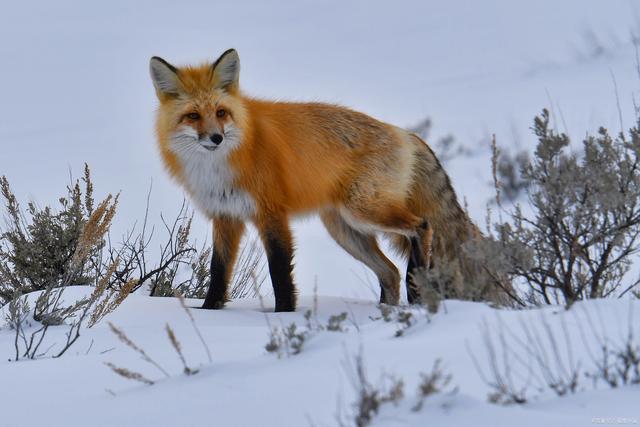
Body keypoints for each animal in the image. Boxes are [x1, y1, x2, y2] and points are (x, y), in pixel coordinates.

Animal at [150, 50, 490, 312]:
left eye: (221, 113)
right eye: (193, 116)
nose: (216, 138)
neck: (221, 164)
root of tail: (405, 132)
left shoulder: (271, 213)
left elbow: (279, 271)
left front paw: (283, 315)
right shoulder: (225, 216)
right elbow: (218, 272)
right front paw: (209, 312)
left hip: (364, 211)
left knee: (421, 227)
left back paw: (416, 289)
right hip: (345, 230)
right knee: (390, 272)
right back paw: (388, 312)